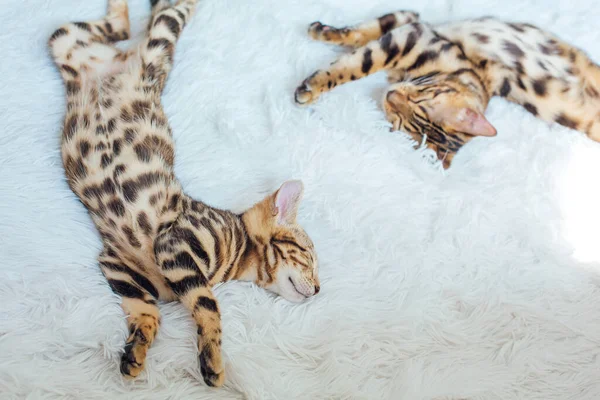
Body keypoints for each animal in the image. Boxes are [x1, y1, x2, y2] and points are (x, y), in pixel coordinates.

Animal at [48, 0, 318, 388]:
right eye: (310, 257)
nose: (320, 289)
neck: (238, 247)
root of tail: (117, 61)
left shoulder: (117, 267)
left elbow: (147, 314)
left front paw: (136, 352)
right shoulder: (174, 245)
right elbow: (208, 305)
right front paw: (213, 361)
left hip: (64, 41)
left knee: (116, 29)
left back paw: (120, 10)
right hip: (157, 44)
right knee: (168, 14)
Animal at [294, 10, 600, 167]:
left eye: (401, 122)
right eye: (424, 99)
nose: (391, 96)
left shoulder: (410, 37)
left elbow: (359, 63)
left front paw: (312, 86)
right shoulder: (412, 27)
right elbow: (367, 32)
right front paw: (326, 32)